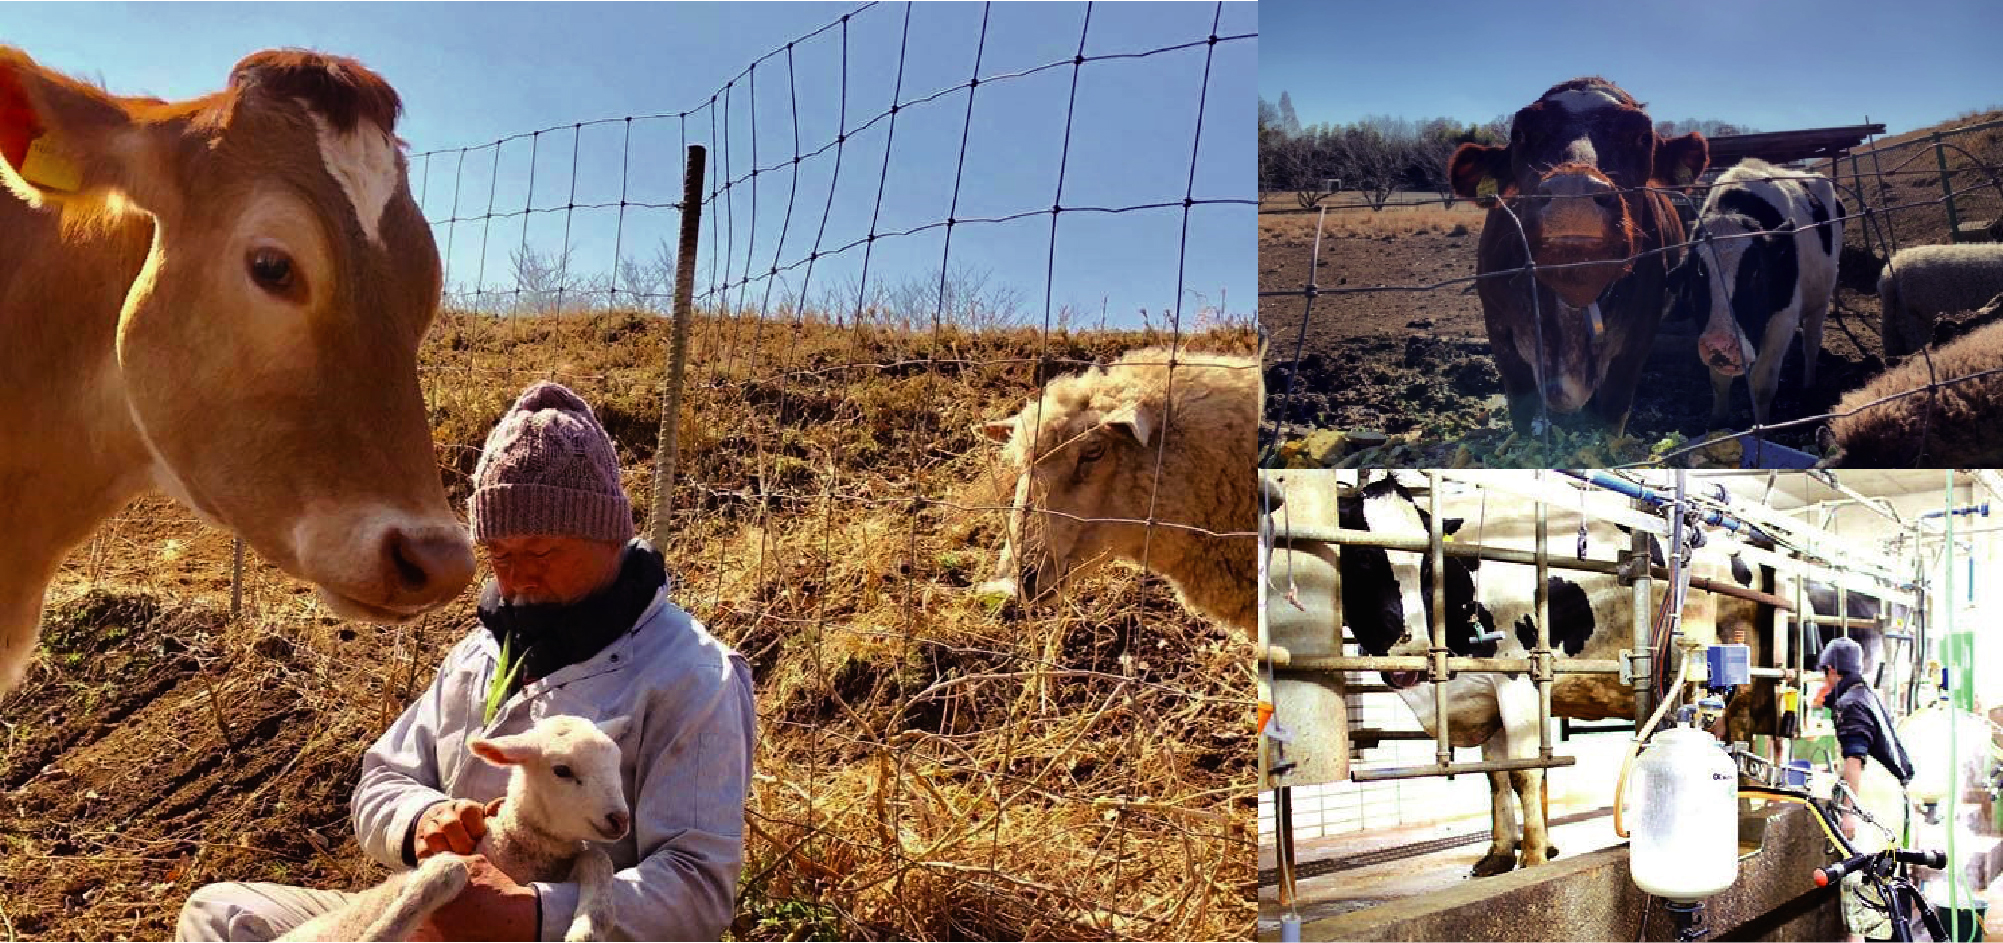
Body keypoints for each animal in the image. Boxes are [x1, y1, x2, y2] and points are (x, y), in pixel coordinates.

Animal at [278, 716, 628, 943]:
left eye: (617, 763)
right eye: (562, 770)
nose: (621, 819)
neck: (512, 848)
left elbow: (596, 857)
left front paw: (587, 929)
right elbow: (448, 868)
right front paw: (377, 934)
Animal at [1338, 476, 1762, 880]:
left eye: (1428, 564)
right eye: (1362, 556)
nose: (1411, 648)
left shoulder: (1517, 678)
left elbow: (1524, 774)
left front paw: (1534, 857)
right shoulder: (1486, 692)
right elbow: (1497, 777)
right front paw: (1498, 855)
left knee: (1744, 731)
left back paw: (1749, 808)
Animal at [1450, 79, 1714, 434]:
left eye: (1643, 137)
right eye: (1520, 134)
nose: (1573, 193)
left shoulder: (1634, 346)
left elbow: (1610, 421)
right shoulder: (1501, 334)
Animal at [1674, 160, 1842, 426]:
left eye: (1756, 274)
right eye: (1696, 275)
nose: (1721, 345)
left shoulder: (1783, 320)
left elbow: (1762, 384)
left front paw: (1763, 425)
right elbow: (1718, 380)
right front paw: (1719, 420)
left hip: (1820, 298)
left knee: (1812, 341)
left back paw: (1809, 384)